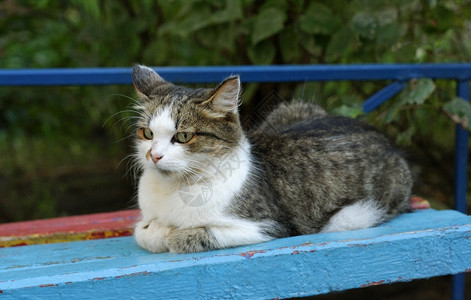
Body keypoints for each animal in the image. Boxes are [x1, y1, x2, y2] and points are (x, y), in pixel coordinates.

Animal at [130, 65, 412, 253]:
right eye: (147, 133)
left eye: (184, 136)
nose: (154, 155)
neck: (171, 190)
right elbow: (141, 232)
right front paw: (157, 230)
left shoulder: (271, 226)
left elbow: (185, 236)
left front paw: (169, 233)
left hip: (356, 214)